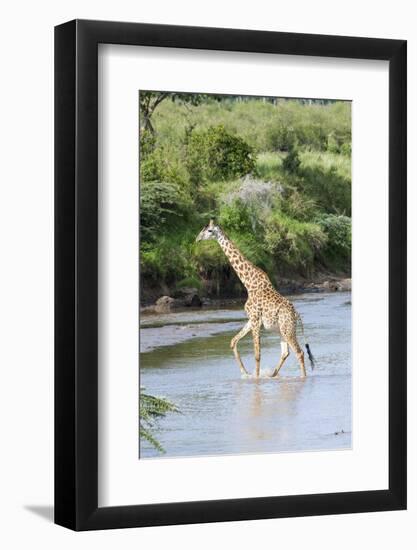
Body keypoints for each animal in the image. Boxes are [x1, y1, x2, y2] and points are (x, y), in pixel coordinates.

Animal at [197, 220, 314, 380]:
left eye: (209, 231)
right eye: (202, 229)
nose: (197, 239)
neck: (248, 283)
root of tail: (296, 315)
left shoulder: (256, 320)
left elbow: (257, 355)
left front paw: (256, 379)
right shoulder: (252, 319)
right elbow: (233, 341)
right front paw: (245, 373)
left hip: (287, 329)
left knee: (299, 352)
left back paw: (302, 378)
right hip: (281, 330)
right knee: (286, 352)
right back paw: (273, 375)